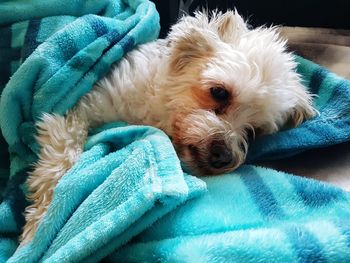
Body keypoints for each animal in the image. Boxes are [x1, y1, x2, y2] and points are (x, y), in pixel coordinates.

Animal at [22, 11, 318, 244]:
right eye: (219, 92)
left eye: (255, 130)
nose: (223, 157)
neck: (156, 109)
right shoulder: (76, 111)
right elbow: (59, 163)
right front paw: (38, 227)